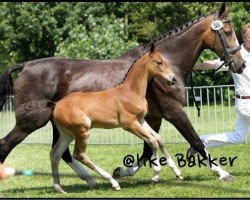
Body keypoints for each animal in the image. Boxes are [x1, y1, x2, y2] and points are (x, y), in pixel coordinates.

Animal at [49, 45, 182, 192]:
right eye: (159, 62)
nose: (173, 79)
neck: (131, 91)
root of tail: (56, 104)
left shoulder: (141, 121)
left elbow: (159, 139)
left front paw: (177, 173)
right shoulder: (130, 124)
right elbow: (153, 141)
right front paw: (155, 176)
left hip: (67, 134)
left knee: (55, 154)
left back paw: (59, 188)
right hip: (82, 131)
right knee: (79, 155)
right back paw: (112, 182)